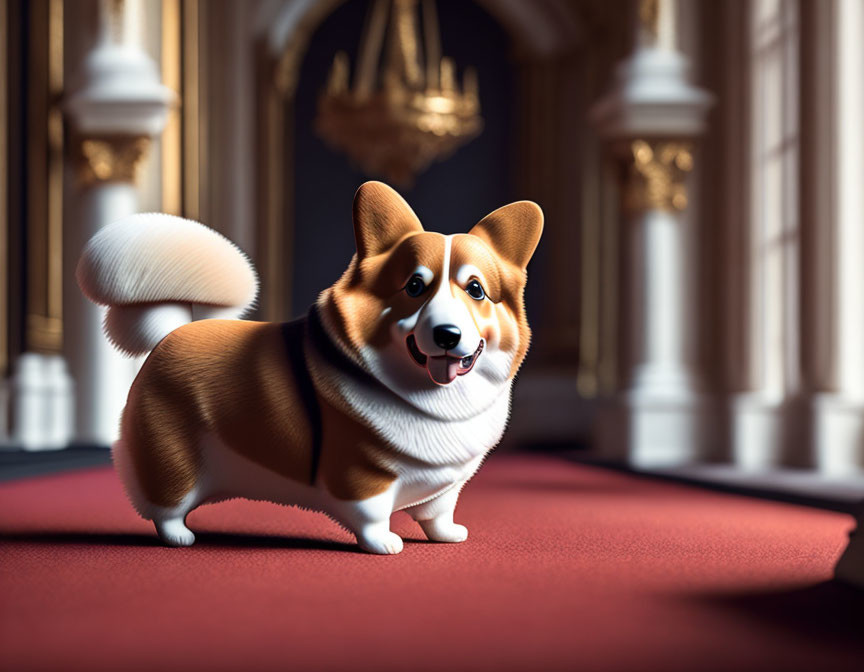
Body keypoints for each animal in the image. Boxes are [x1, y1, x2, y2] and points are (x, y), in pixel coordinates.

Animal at [77, 181, 544, 552]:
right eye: (414, 286)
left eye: (476, 290)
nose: (448, 335)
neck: (433, 398)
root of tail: (171, 332)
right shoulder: (361, 475)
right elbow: (372, 515)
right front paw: (384, 543)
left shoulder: (446, 489)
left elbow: (439, 512)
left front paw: (447, 535)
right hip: (175, 459)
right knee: (164, 504)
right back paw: (178, 536)